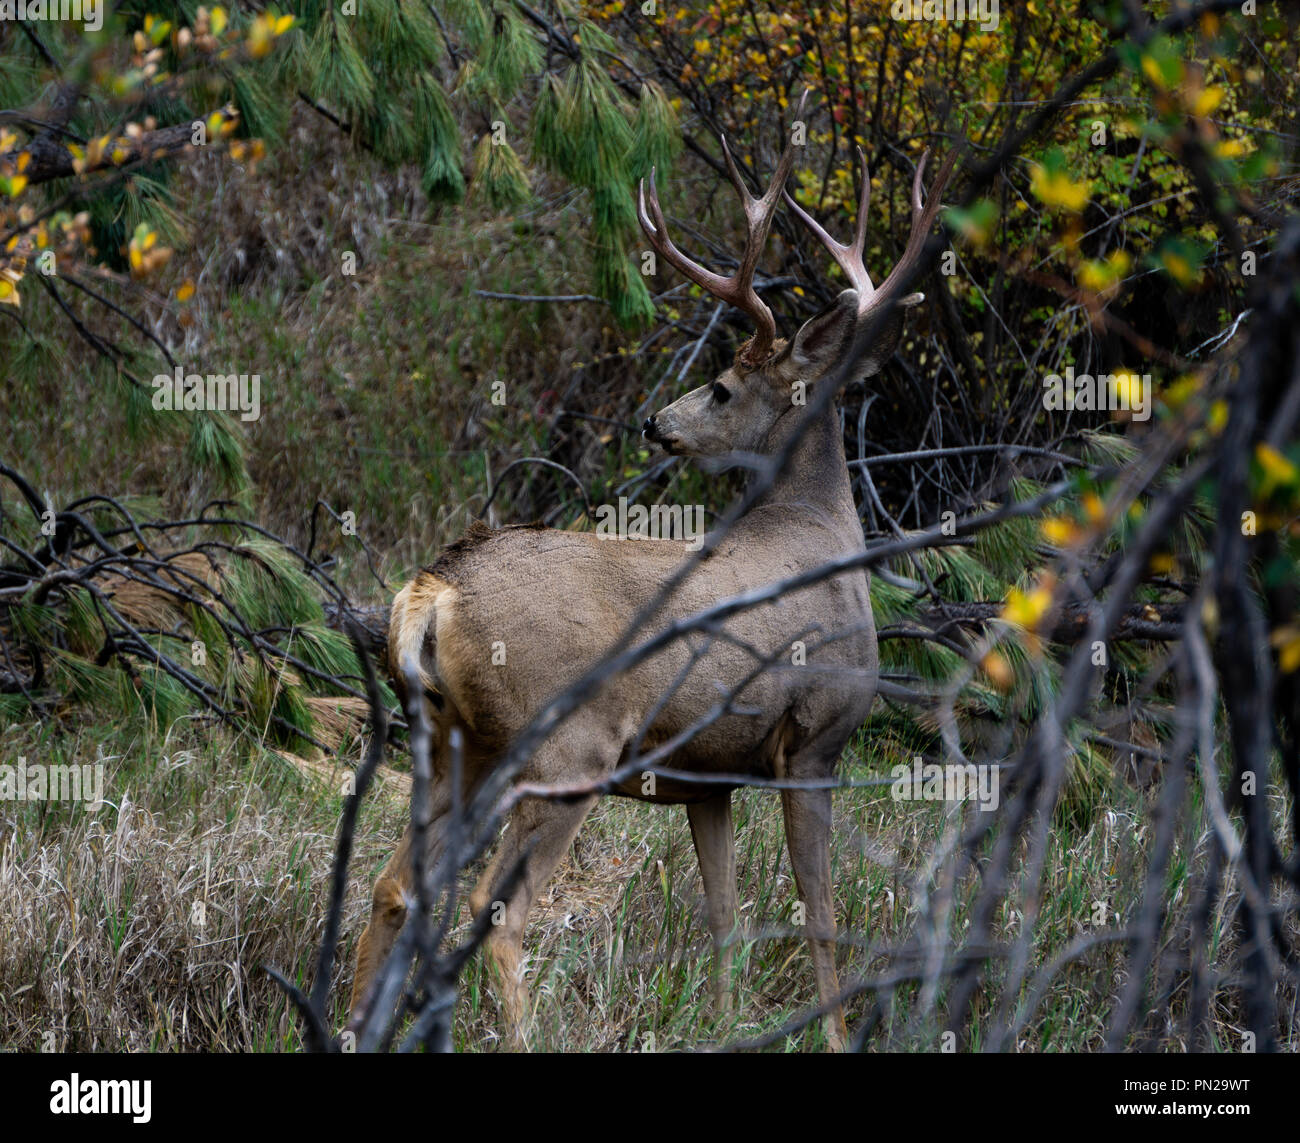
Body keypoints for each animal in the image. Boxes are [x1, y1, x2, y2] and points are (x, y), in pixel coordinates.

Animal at [348, 97, 957, 1051]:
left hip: (456, 741)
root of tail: (432, 589)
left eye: (719, 388)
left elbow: (725, 914)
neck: (821, 531)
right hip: (565, 745)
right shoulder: (816, 736)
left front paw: (725, 1020)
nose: (653, 423)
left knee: (393, 887)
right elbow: (819, 911)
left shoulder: (712, 775)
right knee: (497, 910)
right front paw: (828, 1031)